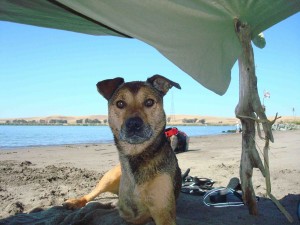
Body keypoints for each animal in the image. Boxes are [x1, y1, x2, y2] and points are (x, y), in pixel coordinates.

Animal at [64, 74, 182, 224]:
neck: (136, 155)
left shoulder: (163, 211)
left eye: (149, 102)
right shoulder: (127, 213)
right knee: (92, 194)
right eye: (120, 104)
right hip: (109, 178)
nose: (134, 124)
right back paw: (75, 202)